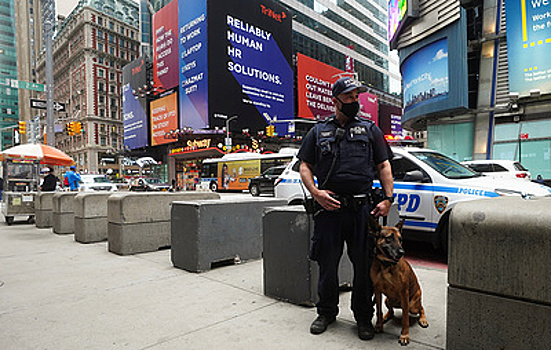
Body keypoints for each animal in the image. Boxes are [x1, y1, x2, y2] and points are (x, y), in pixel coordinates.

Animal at [368, 217, 430, 346]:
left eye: (400, 239)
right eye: (389, 238)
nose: (402, 252)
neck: (386, 265)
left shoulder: (404, 292)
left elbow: (405, 318)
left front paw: (404, 335)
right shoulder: (377, 290)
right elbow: (378, 310)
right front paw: (379, 325)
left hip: (412, 305)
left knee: (421, 307)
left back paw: (423, 320)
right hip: (387, 300)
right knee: (391, 311)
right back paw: (386, 317)